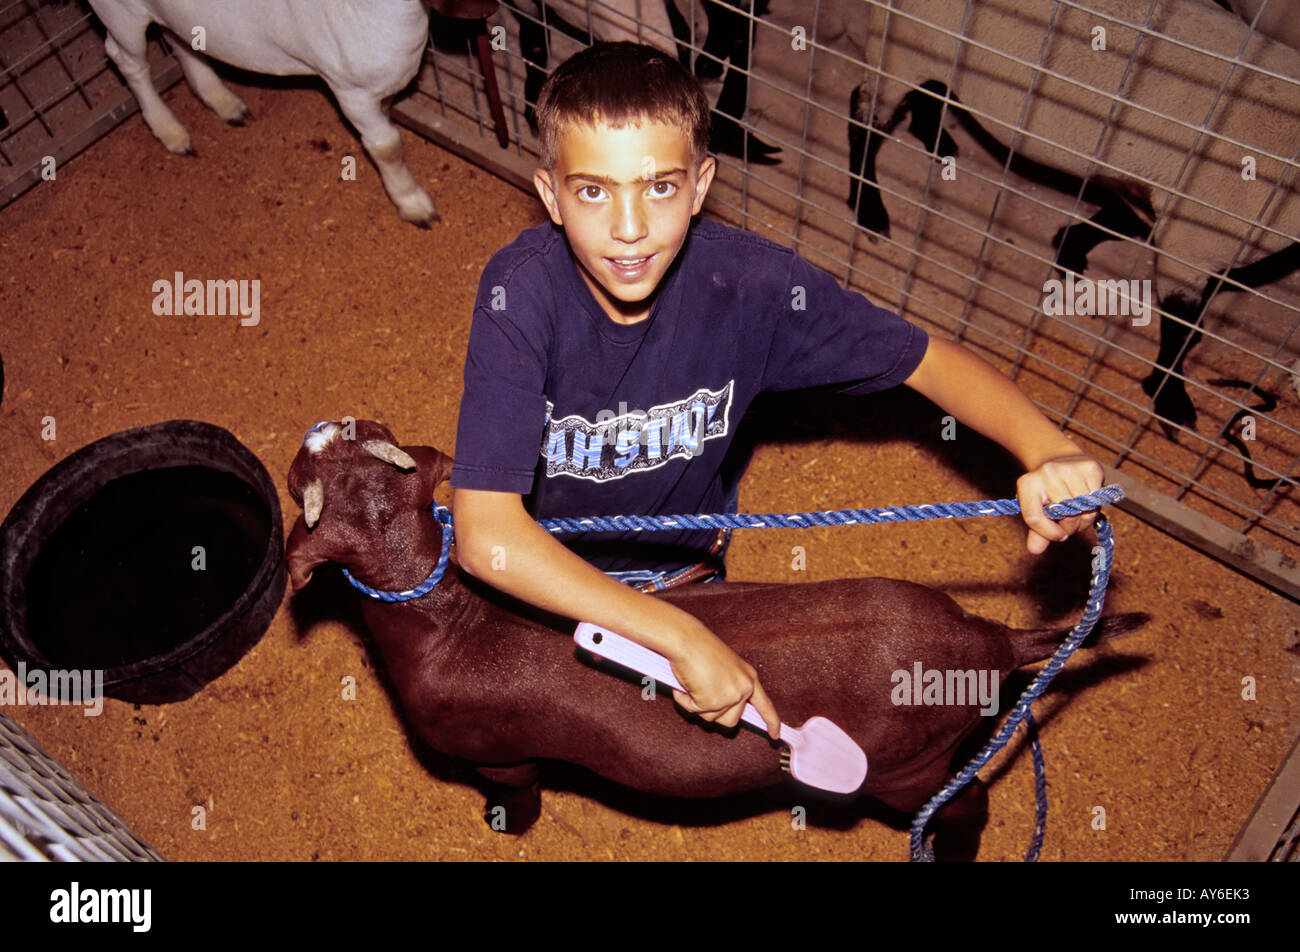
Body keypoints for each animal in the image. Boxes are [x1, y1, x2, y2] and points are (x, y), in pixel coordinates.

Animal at [85, 0, 483, 224]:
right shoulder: (351, 92)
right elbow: (387, 147)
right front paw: (414, 205)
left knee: (180, 38)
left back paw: (223, 101)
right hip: (121, 15)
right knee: (126, 60)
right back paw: (170, 132)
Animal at [284, 421, 1138, 858]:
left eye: (300, 486)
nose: (325, 427)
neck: (449, 620)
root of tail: (990, 637)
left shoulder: (501, 757)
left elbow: (516, 798)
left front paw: (503, 830)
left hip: (905, 765)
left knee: (963, 807)